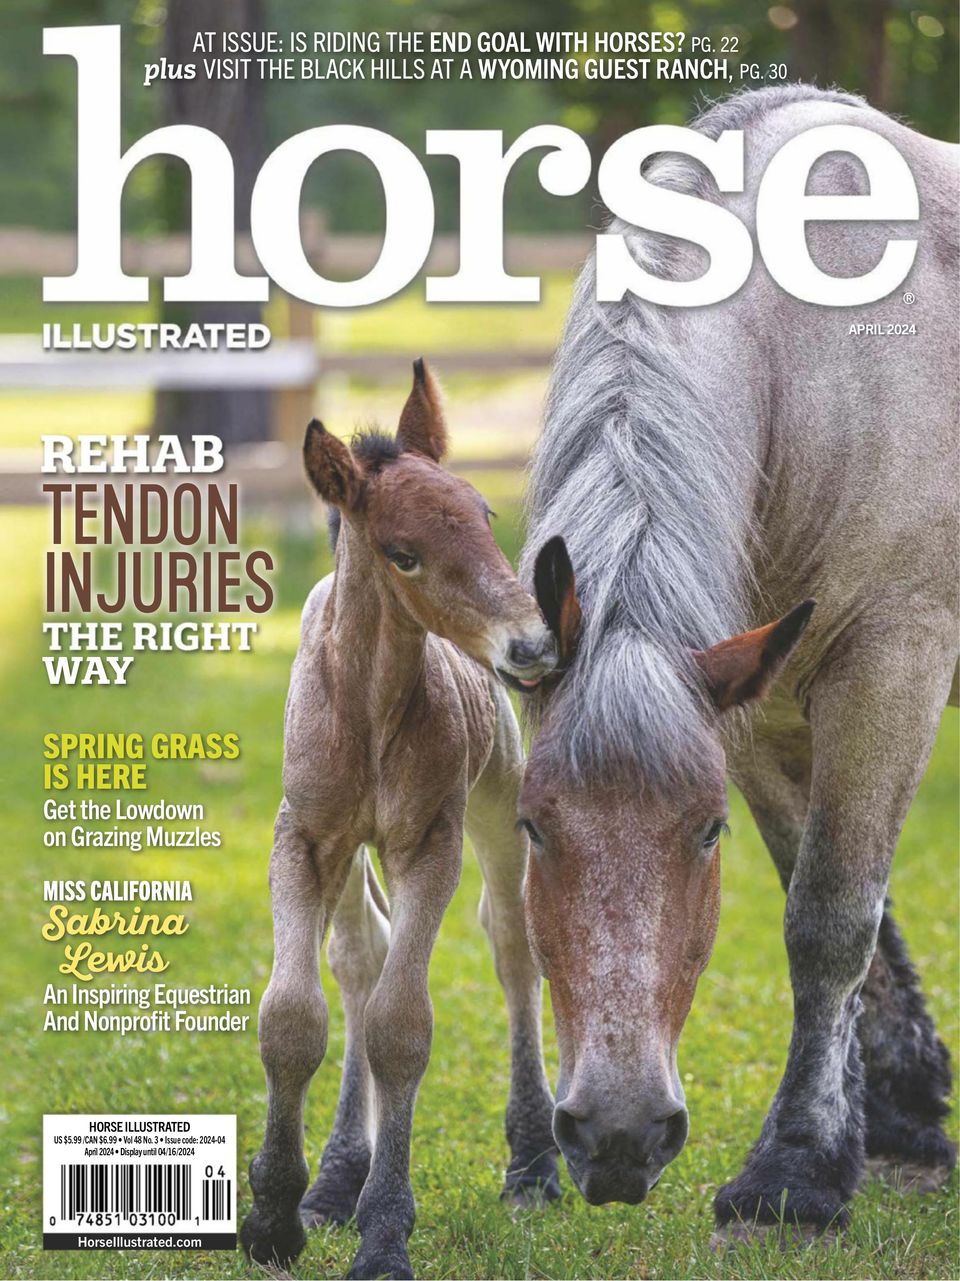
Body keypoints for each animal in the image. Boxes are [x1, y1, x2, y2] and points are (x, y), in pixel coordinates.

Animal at [240, 361, 561, 1280]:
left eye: (484, 515)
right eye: (403, 553)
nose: (532, 646)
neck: (372, 707)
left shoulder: (431, 841)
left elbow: (402, 1026)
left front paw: (384, 1230)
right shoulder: (304, 838)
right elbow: (293, 1015)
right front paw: (276, 1213)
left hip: (497, 802)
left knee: (513, 945)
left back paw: (533, 1161)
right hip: (352, 855)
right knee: (360, 957)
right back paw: (334, 1179)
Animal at [518, 84, 958, 1240]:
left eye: (703, 831)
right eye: (533, 827)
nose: (618, 1136)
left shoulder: (894, 659)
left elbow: (831, 917)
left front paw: (797, 1167)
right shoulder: (762, 695)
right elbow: (828, 887)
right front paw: (892, 1114)